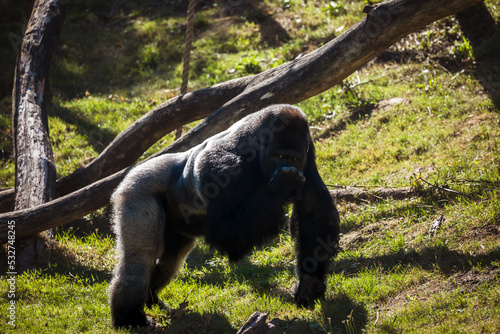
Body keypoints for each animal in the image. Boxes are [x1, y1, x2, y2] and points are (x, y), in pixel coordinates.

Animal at [107, 103, 338, 326]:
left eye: (294, 158)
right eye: (280, 156)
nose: (286, 166)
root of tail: (135, 170)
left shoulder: (308, 148)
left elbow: (312, 204)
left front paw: (310, 282)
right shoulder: (224, 167)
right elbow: (223, 231)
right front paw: (281, 187)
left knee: (173, 257)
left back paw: (151, 297)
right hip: (137, 188)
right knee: (141, 257)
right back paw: (129, 318)